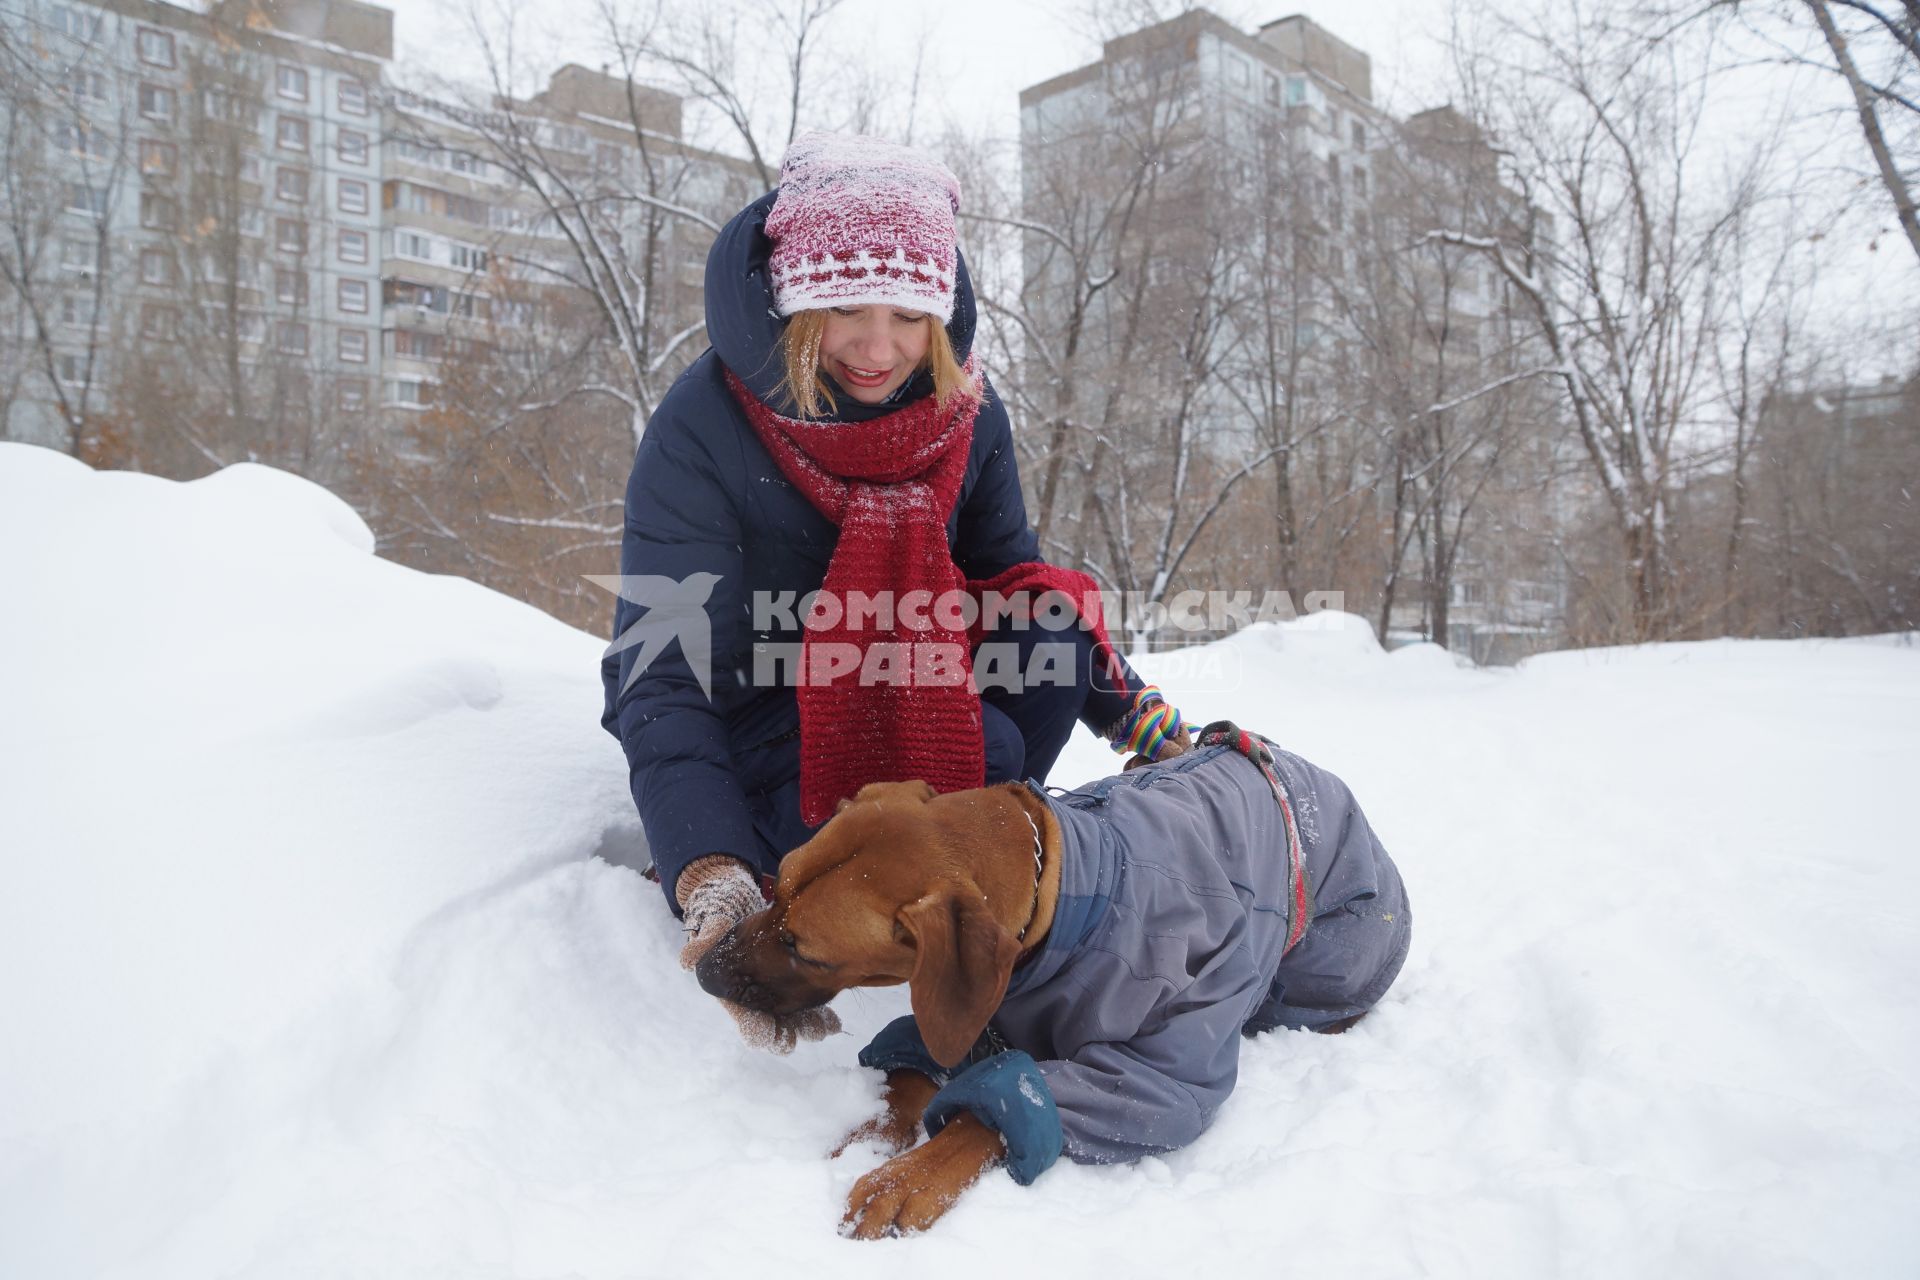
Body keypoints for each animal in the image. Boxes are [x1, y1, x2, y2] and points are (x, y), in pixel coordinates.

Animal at [695, 775, 1067, 1235]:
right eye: (776, 887)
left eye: (805, 952)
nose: (705, 971)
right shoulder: (953, 1017)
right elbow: (908, 1077)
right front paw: (872, 1132)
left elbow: (992, 1109)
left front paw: (904, 1181)